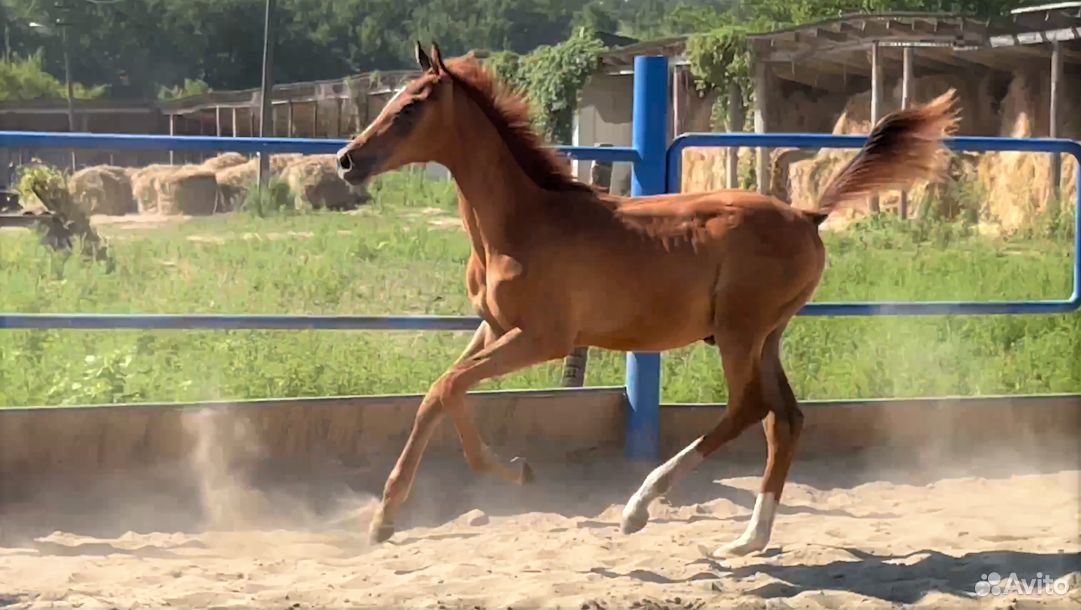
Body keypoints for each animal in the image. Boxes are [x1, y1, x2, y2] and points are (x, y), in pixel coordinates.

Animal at [332, 40, 959, 549]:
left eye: (409, 107)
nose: (346, 160)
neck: (519, 225)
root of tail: (808, 214)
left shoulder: (543, 339)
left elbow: (448, 387)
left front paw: (515, 471)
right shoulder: (493, 328)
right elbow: (439, 394)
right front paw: (385, 520)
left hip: (739, 331)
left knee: (749, 409)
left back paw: (639, 508)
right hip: (768, 335)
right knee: (785, 419)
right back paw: (748, 540)